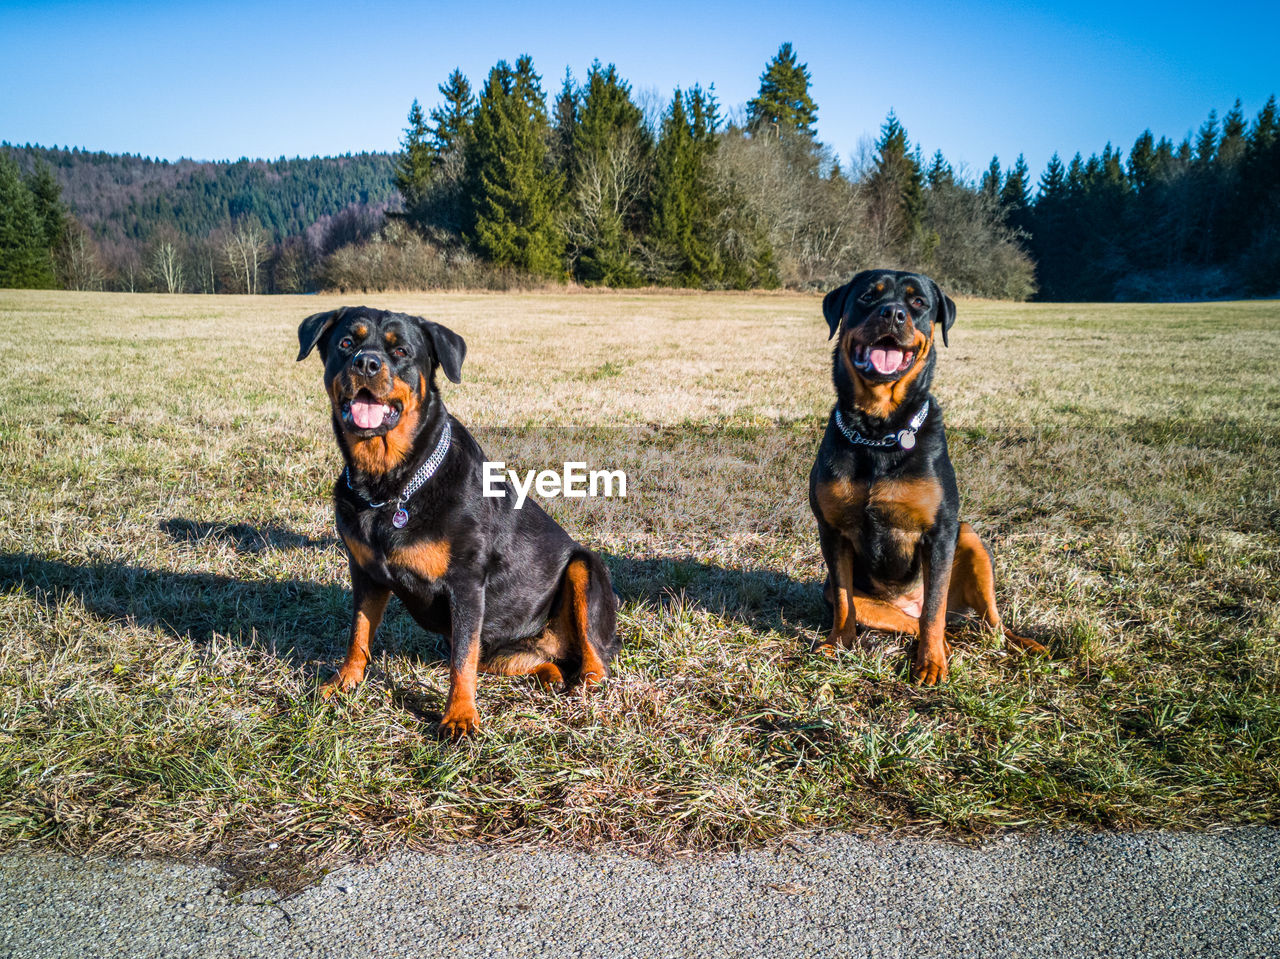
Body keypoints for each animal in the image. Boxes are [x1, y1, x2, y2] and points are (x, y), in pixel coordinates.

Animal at [299, 304, 619, 732]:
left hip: (585, 566)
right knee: (537, 661)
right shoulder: (364, 573)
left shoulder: (466, 584)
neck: (391, 484)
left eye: (401, 351)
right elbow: (359, 633)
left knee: (596, 656)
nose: (366, 363)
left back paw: (585, 685)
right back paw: (550, 675)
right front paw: (343, 682)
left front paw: (460, 716)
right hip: (504, 652)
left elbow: (460, 660)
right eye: (347, 343)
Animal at [808, 268, 1049, 681]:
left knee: (984, 622)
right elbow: (842, 599)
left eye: (918, 302)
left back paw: (1016, 644)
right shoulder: (832, 531)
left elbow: (933, 610)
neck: (879, 432)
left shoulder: (939, 533)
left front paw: (931, 662)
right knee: (910, 620)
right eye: (867, 297)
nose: (893, 313)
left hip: (970, 540)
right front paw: (837, 644)